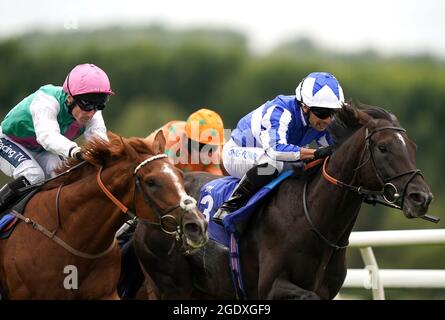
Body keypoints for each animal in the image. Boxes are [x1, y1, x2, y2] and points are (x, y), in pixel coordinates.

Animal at [129, 104, 434, 300]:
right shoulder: (272, 286)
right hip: (170, 283)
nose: (422, 197)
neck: (313, 219)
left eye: (413, 147)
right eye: (383, 148)